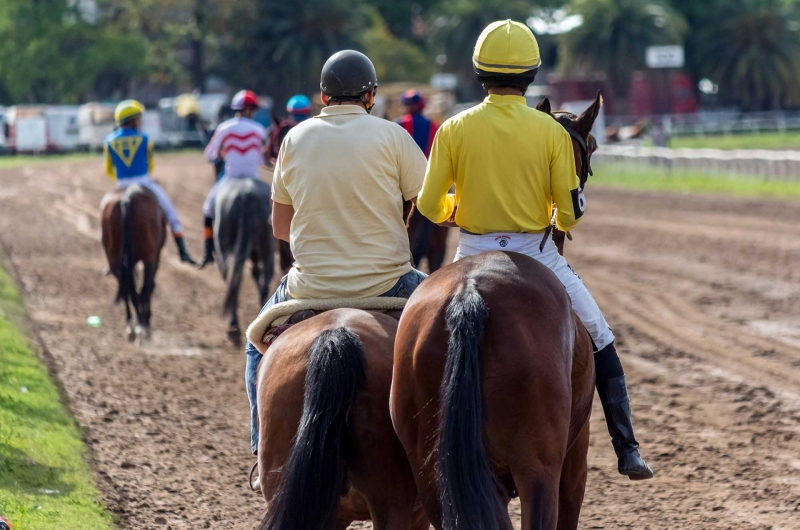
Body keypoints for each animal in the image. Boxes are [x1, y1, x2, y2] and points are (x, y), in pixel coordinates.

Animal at [101, 185, 167, 342]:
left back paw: (132, 324)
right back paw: (142, 327)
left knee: (127, 287)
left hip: (114, 259)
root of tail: (126, 199)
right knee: (144, 287)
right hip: (150, 258)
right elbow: (149, 286)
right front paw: (145, 321)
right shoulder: (154, 258)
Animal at [212, 177, 276, 342]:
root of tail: (246, 196)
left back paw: (234, 322)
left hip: (225, 250)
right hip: (267, 247)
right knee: (265, 279)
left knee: (233, 281)